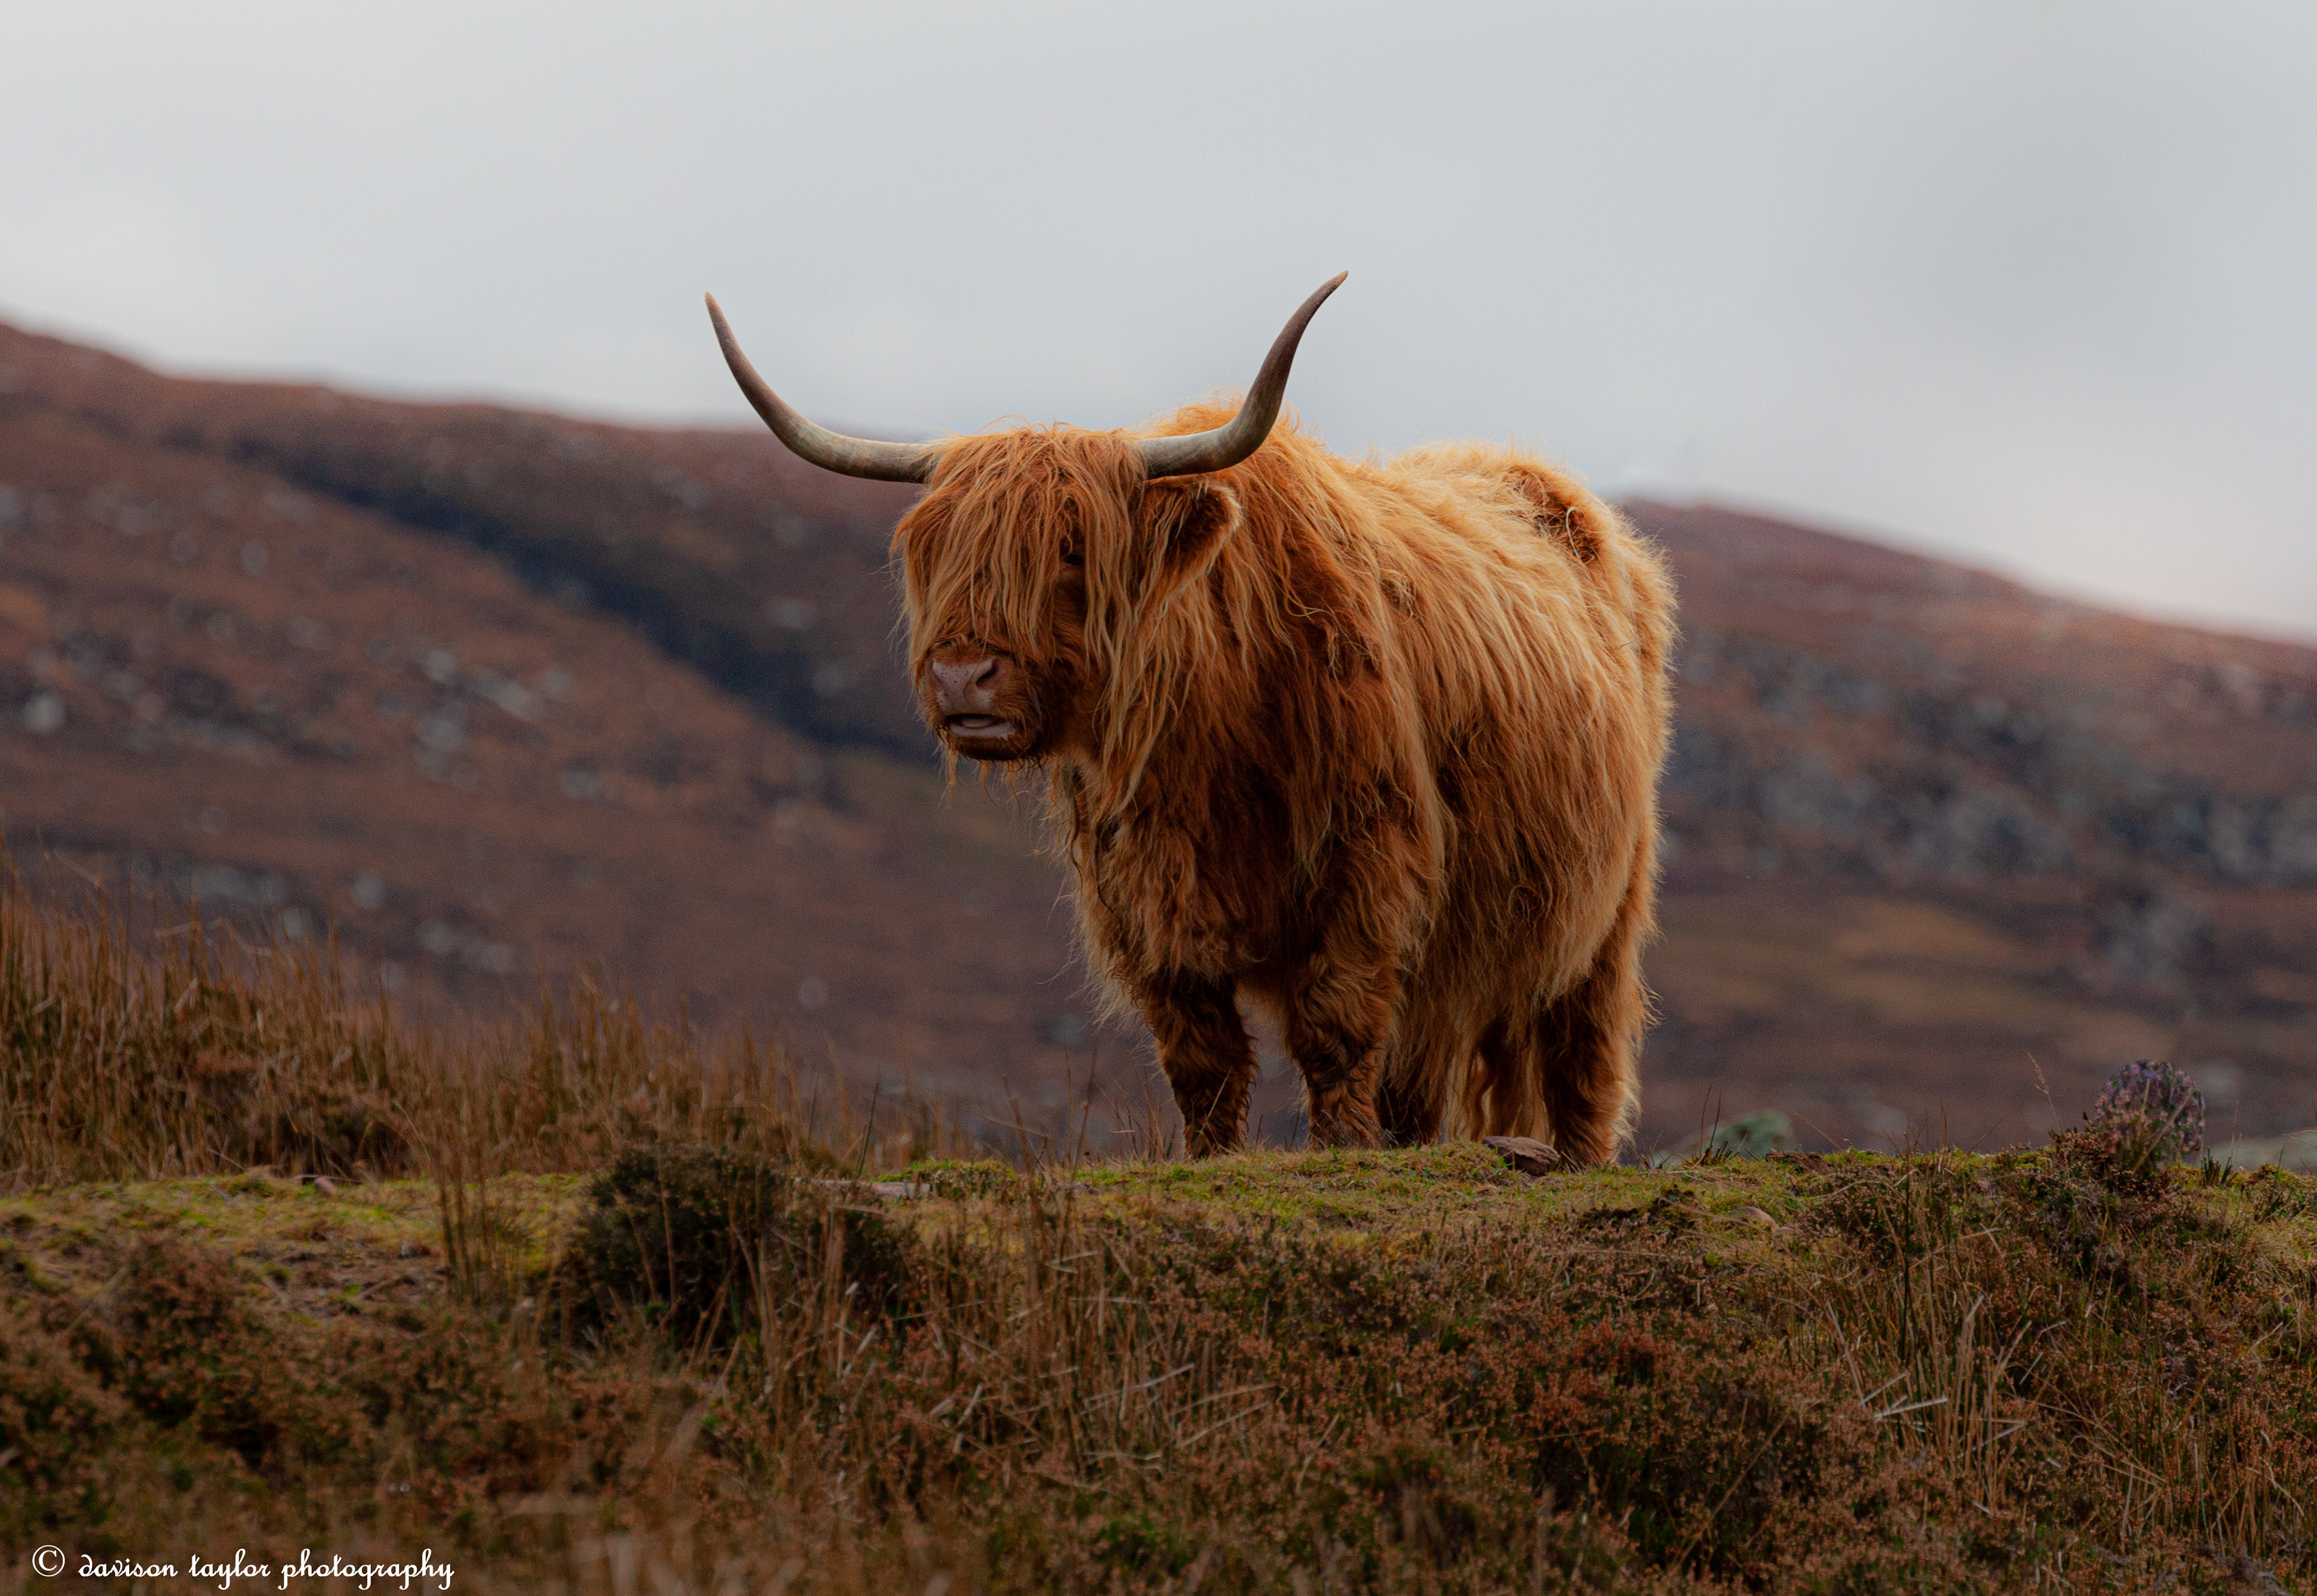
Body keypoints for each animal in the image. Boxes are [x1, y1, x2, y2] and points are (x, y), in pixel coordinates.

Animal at [706, 276, 1674, 1163]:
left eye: (1072, 549)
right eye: (935, 551)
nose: (961, 677)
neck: (1213, 738)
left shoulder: (1370, 859)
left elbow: (1337, 1028)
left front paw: (1343, 1153)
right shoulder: (1143, 899)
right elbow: (1202, 1060)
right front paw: (1214, 1157)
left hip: (1605, 913)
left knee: (1581, 1056)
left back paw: (1573, 1155)